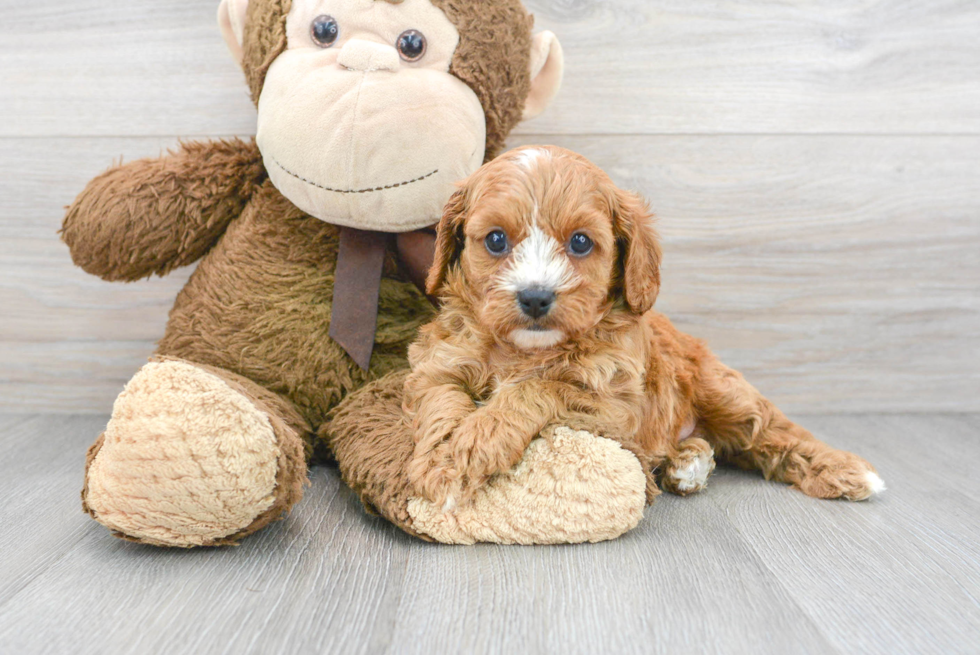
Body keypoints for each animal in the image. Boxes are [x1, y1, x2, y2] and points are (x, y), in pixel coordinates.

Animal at [402, 146, 884, 510]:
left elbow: (539, 387)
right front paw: (446, 463)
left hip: (723, 390)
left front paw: (476, 442)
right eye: (496, 240)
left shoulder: (617, 407)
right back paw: (687, 461)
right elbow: (443, 405)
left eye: (581, 242)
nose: (536, 297)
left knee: (774, 432)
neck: (526, 349)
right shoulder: (438, 367)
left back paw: (845, 469)